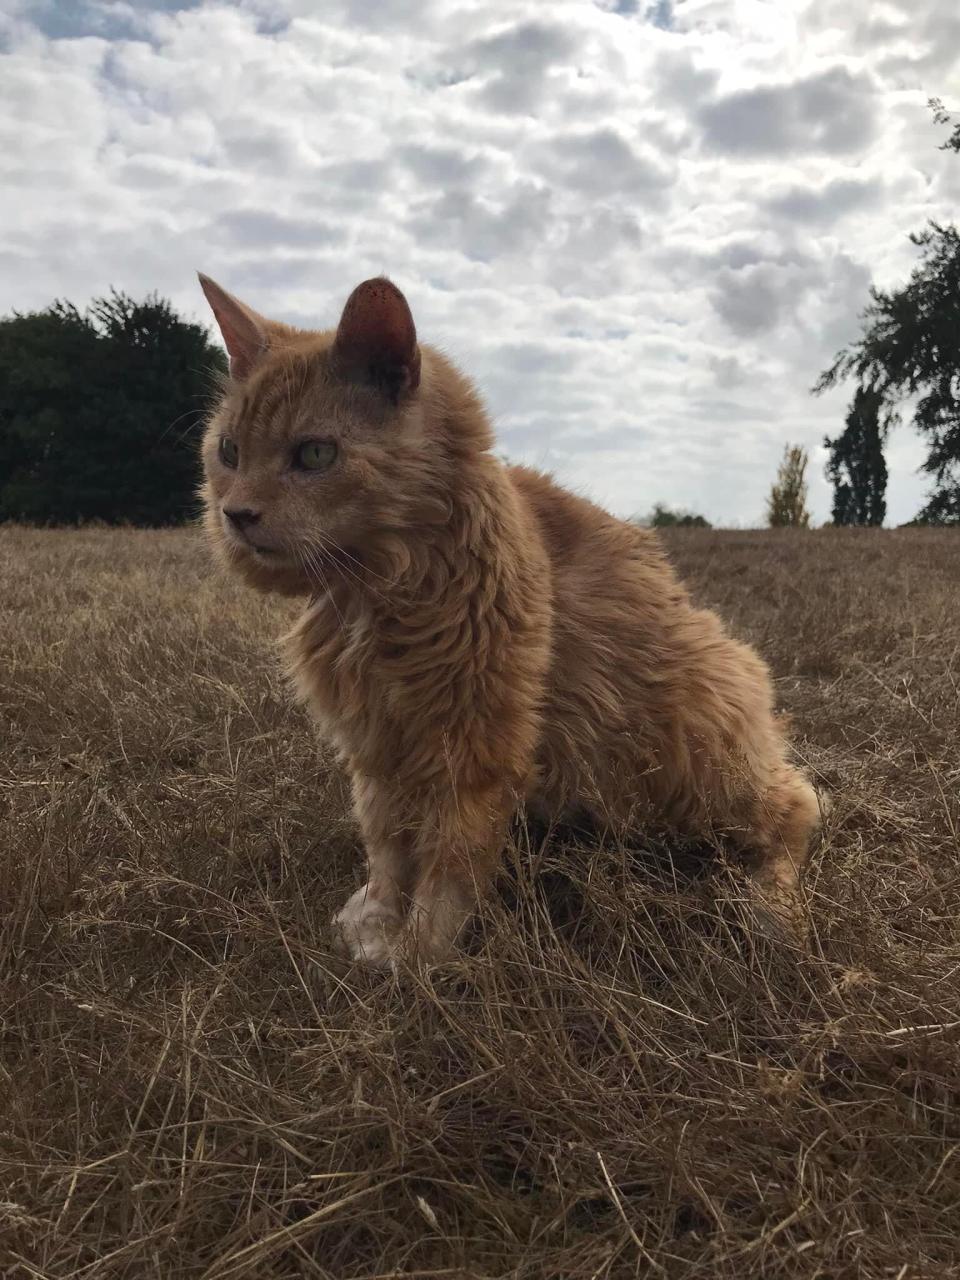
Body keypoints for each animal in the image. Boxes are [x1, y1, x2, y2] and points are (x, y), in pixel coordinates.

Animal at [199, 272, 824, 967]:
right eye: (228, 452)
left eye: (314, 455)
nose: (235, 514)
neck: (369, 592)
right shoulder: (376, 746)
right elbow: (386, 844)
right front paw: (378, 921)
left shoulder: (475, 747)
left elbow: (448, 861)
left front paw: (419, 955)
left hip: (698, 729)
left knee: (796, 805)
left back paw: (772, 911)